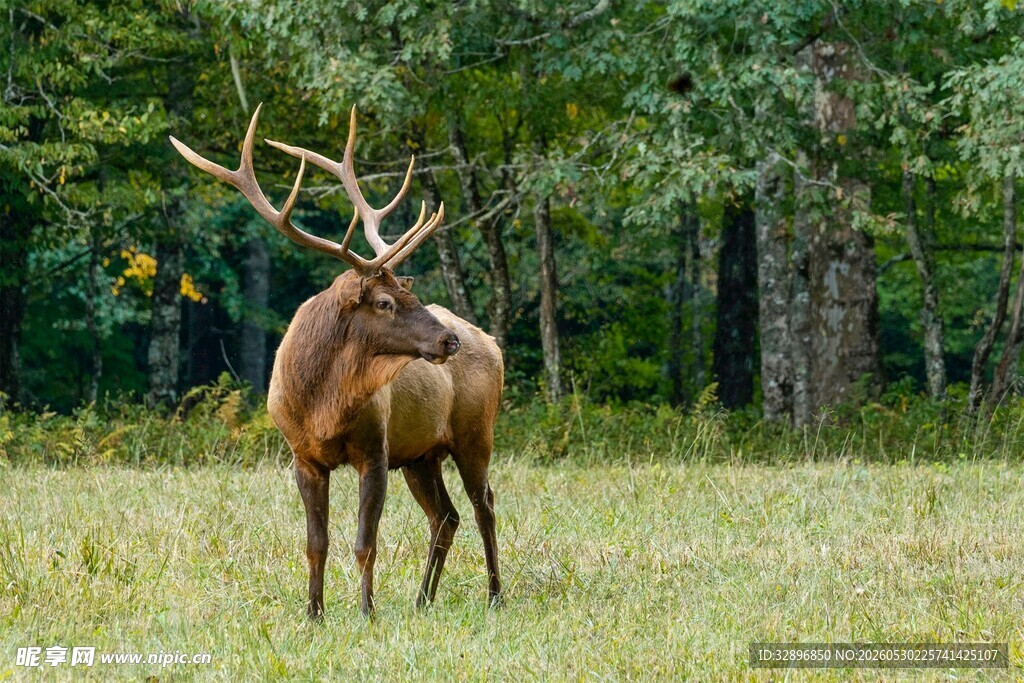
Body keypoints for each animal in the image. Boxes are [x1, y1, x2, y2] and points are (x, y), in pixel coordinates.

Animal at [170, 105, 503, 618]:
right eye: (385, 302)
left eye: (410, 293)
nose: (449, 342)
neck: (322, 405)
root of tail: (493, 343)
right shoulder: (303, 456)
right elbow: (316, 544)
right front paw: (314, 614)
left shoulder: (376, 451)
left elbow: (366, 543)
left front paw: (366, 612)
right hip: (421, 454)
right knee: (446, 516)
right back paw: (422, 600)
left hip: (474, 433)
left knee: (484, 505)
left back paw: (494, 595)